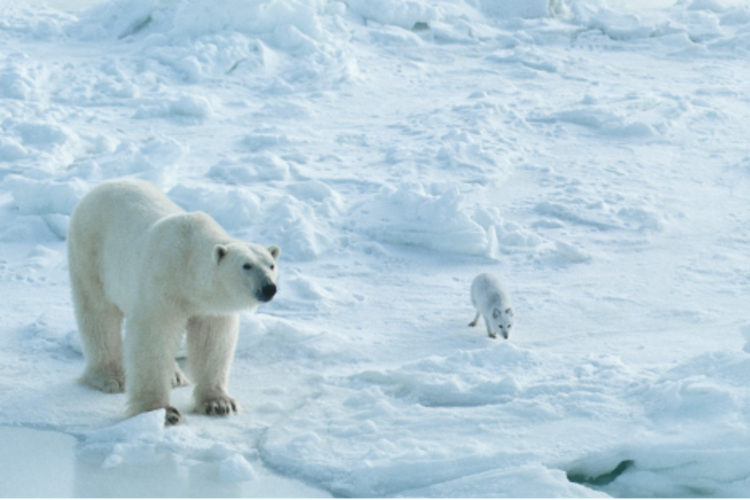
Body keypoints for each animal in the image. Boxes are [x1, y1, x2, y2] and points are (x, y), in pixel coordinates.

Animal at [68, 178, 280, 425]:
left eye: (271, 265)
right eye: (246, 265)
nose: (269, 288)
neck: (188, 261)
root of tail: (102, 186)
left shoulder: (209, 306)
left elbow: (213, 342)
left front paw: (219, 404)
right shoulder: (163, 283)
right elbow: (153, 337)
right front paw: (162, 412)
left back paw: (175, 376)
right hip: (90, 252)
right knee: (97, 313)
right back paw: (112, 377)